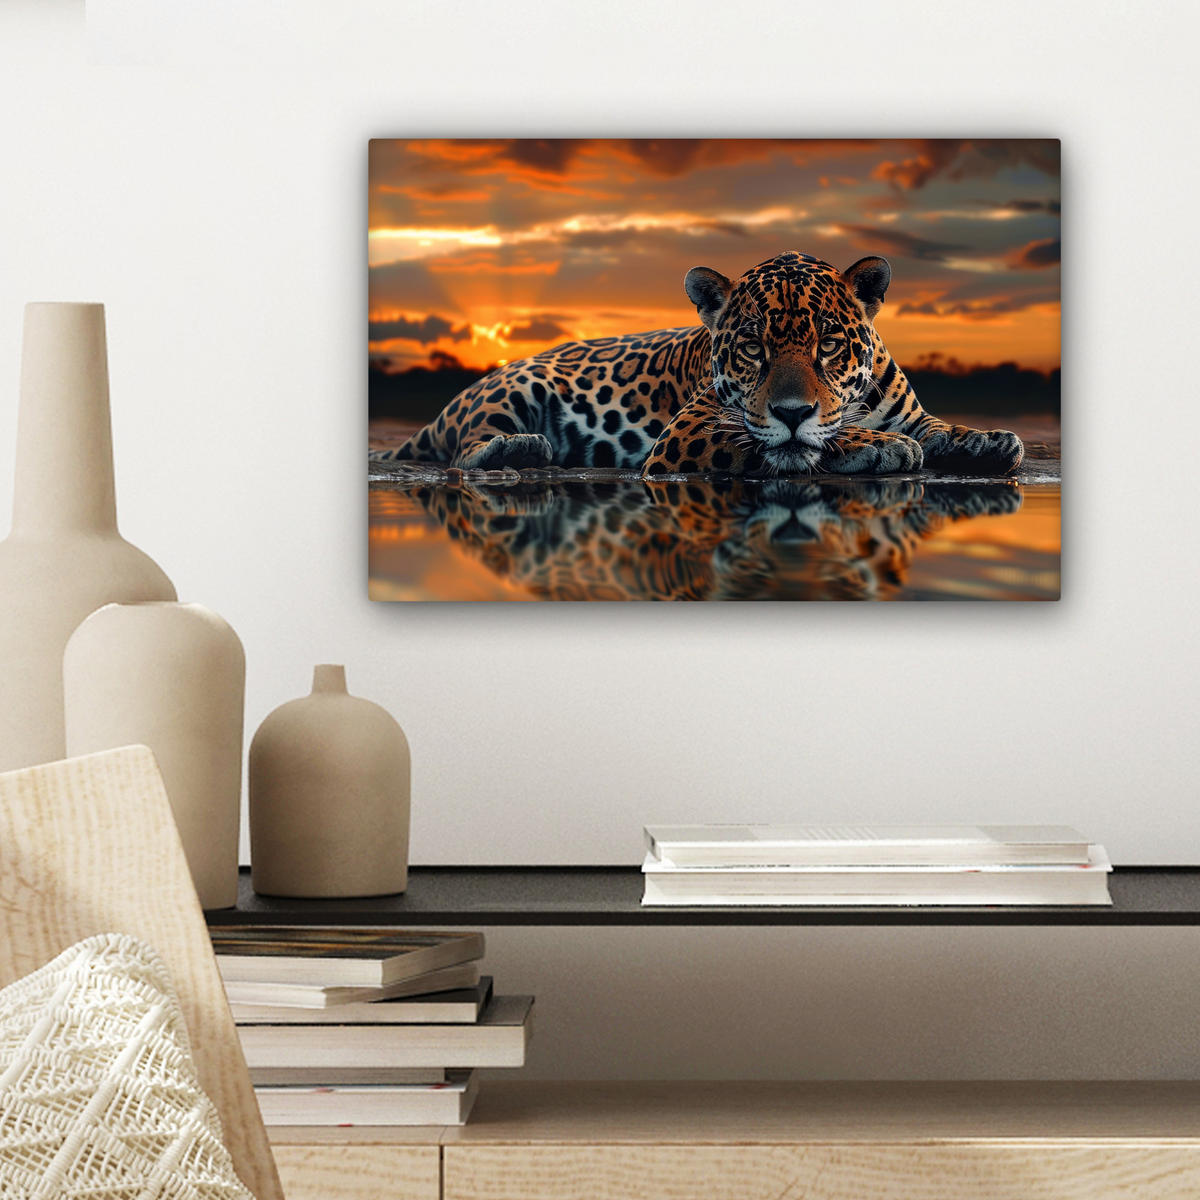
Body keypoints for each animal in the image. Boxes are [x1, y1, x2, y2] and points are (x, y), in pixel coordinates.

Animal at [370, 250, 1024, 478]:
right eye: (753, 348)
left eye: (829, 346)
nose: (792, 410)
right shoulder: (691, 430)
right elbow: (795, 442)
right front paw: (875, 445)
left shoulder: (910, 413)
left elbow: (940, 428)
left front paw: (990, 440)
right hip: (512, 389)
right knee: (465, 450)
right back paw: (521, 449)